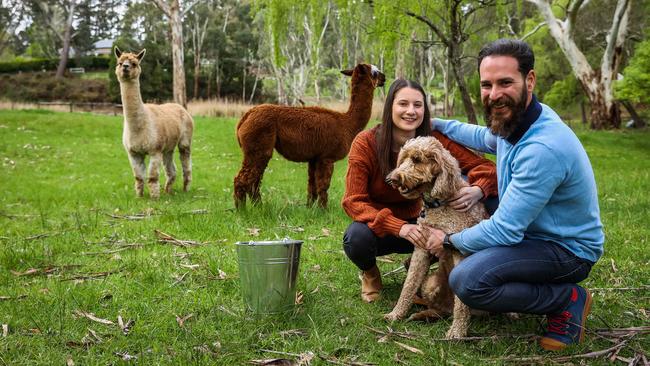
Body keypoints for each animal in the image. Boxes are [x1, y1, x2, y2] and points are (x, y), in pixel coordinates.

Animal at [380, 137, 486, 340]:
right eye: (403, 159)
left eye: (417, 159)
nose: (391, 179)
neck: (437, 204)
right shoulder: (421, 247)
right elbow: (409, 284)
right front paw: (396, 314)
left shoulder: (459, 251)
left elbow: (461, 304)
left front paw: (457, 332)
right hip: (431, 283)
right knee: (440, 309)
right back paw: (421, 315)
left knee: (456, 307)